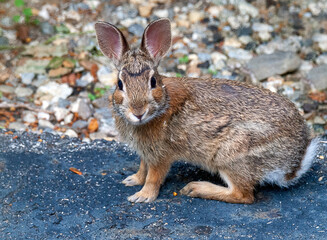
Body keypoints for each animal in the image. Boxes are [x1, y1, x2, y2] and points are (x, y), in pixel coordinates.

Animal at [95, 17, 320, 203]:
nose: (138, 111)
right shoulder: (146, 153)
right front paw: (133, 180)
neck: (162, 105)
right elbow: (143, 168)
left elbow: (154, 177)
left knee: (243, 195)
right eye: (119, 84)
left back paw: (196, 188)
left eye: (153, 82)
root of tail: (295, 161)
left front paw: (142, 196)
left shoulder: (161, 155)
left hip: (231, 155)